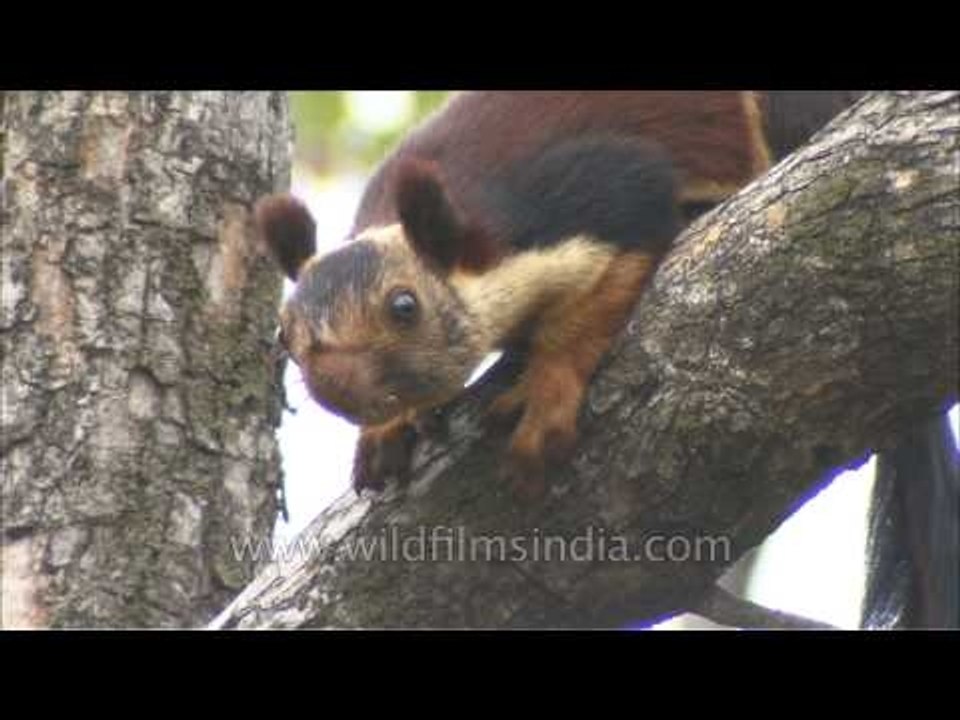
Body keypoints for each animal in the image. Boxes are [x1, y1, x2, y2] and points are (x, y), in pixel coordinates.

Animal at [254, 91, 957, 627]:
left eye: (404, 306)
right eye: (284, 335)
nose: (335, 384)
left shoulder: (600, 195)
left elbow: (608, 275)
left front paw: (547, 391)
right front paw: (388, 428)